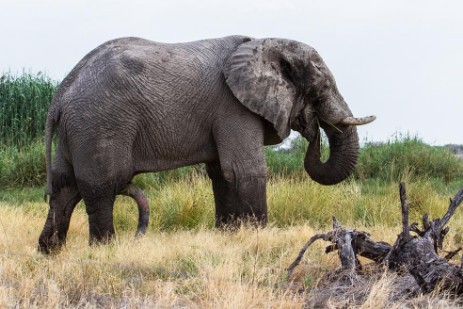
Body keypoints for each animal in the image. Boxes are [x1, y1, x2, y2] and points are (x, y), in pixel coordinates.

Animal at [38, 36, 376, 253]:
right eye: (322, 88)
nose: (312, 126)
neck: (267, 44)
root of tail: (61, 92)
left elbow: (222, 174)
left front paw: (227, 234)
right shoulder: (232, 106)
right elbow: (245, 170)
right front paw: (258, 236)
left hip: (77, 131)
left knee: (65, 187)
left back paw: (50, 252)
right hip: (99, 124)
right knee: (101, 186)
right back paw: (104, 250)